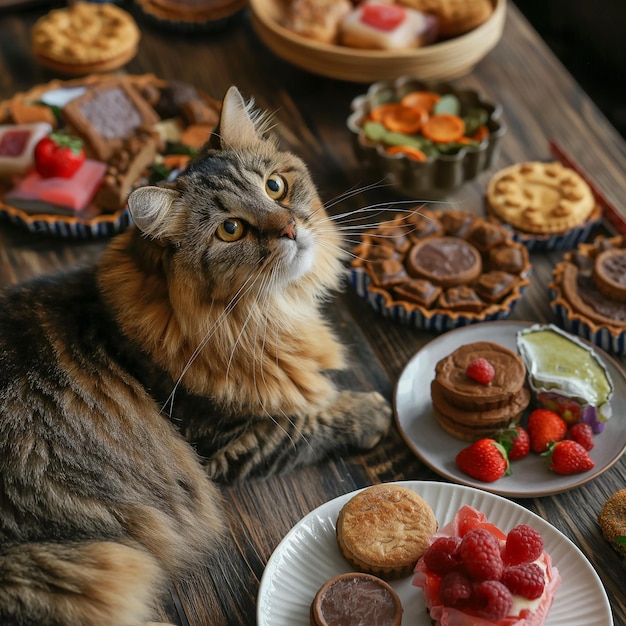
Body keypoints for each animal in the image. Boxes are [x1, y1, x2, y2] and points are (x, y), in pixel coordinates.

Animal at [0, 84, 390, 624]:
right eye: (230, 230)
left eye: (275, 187)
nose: (290, 228)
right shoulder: (223, 439)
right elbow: (309, 421)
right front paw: (373, 412)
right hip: (97, 567)